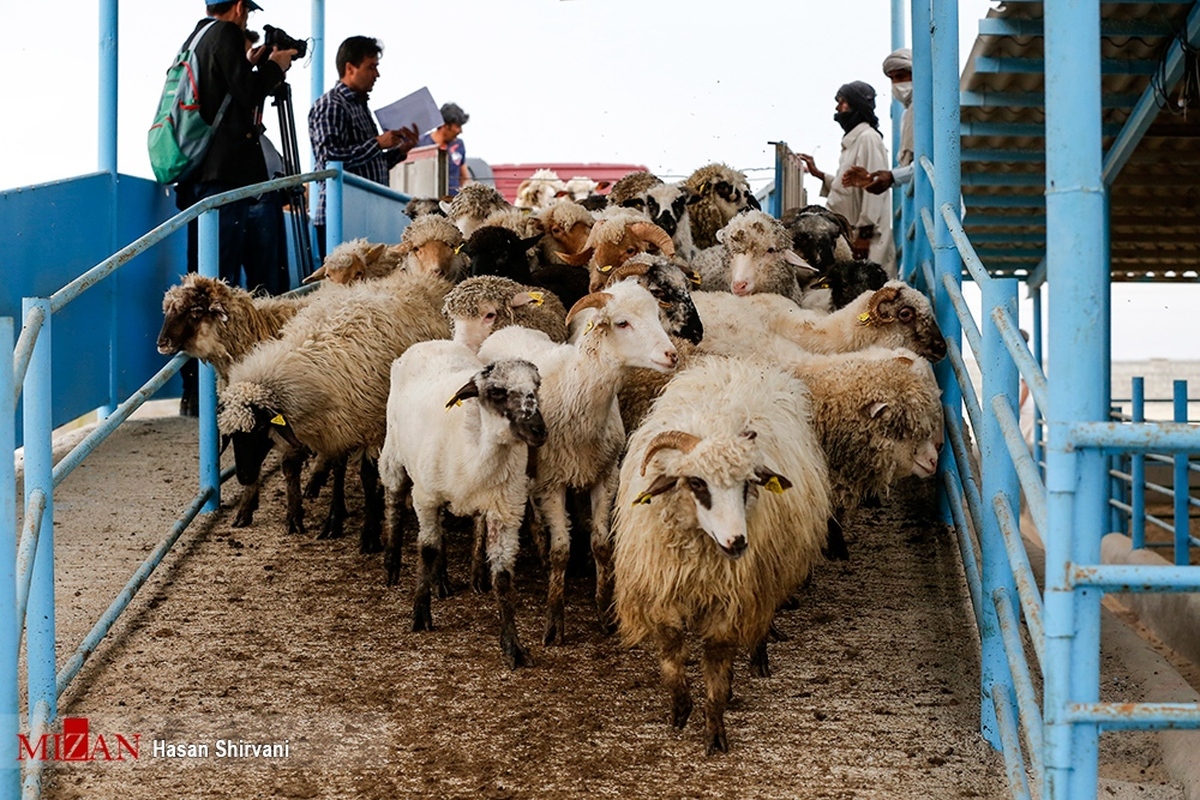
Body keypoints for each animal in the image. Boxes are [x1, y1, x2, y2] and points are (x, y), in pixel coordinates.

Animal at [376, 343, 547, 671]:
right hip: (394, 451)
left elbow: (503, 577)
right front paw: (420, 614)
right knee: (393, 497)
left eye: (536, 386)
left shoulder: (505, 510)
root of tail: (431, 342)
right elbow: (426, 551)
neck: (476, 446)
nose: (539, 430)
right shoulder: (425, 496)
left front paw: (513, 646)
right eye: (497, 391)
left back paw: (442, 581)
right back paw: (391, 563)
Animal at [480, 281, 686, 642]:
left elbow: (601, 544)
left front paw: (605, 613)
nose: (671, 355)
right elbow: (562, 550)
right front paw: (554, 620)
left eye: (656, 314)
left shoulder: (605, 475)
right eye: (622, 323)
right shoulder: (553, 480)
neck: (576, 392)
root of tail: (505, 330)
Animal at [614, 357, 830, 758]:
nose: (738, 542)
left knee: (761, 617)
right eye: (696, 483)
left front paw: (715, 730)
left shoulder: (729, 602)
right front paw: (680, 708)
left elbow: (716, 667)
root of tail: (737, 365)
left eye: (748, 485)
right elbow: (672, 655)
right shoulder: (663, 590)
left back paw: (758, 658)